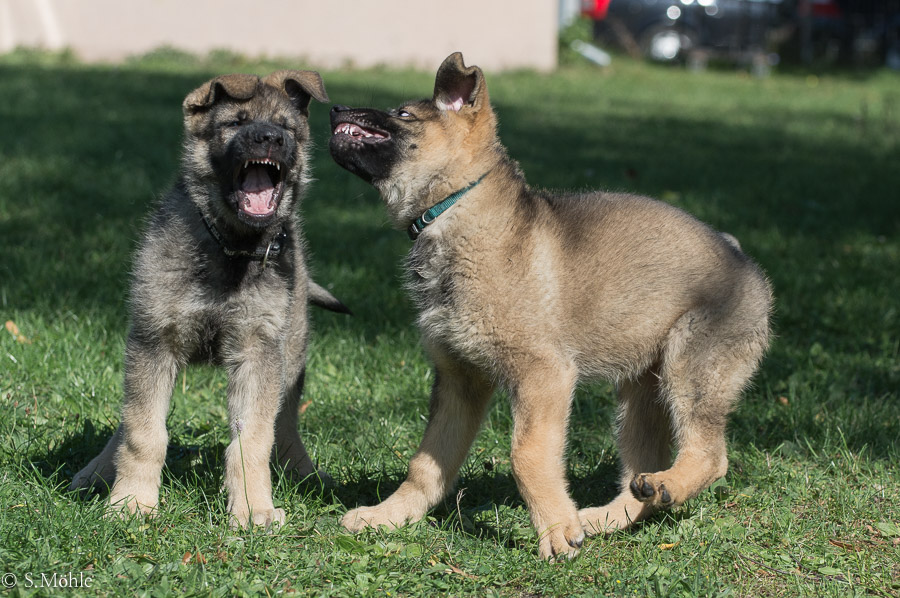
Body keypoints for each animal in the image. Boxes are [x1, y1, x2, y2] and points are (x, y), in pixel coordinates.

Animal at [326, 52, 768, 564]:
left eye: (402, 114)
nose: (333, 108)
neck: (455, 210)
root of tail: (741, 257)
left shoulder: (544, 375)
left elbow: (526, 455)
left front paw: (555, 530)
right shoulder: (460, 379)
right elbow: (426, 463)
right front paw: (390, 515)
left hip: (690, 370)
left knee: (711, 456)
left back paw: (663, 488)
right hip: (641, 393)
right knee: (641, 471)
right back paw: (603, 515)